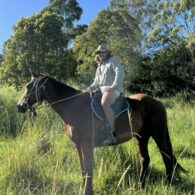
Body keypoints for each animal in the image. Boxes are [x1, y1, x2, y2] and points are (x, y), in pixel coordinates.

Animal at [17, 74, 186, 194]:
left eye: (29, 86)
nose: (20, 106)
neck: (73, 107)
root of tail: (158, 103)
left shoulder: (87, 145)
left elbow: (89, 171)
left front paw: (87, 192)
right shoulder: (78, 145)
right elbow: (84, 170)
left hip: (158, 135)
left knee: (166, 157)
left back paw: (168, 184)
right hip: (141, 137)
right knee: (145, 160)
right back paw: (140, 187)